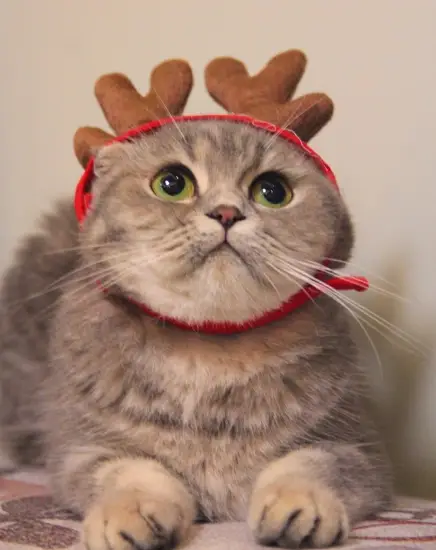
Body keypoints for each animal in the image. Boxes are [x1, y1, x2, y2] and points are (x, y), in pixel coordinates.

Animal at [0, 119, 392, 549]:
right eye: (172, 183)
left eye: (273, 191)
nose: (227, 212)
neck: (208, 352)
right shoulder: (78, 448)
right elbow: (126, 470)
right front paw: (131, 511)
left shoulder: (359, 448)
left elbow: (313, 463)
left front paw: (300, 502)